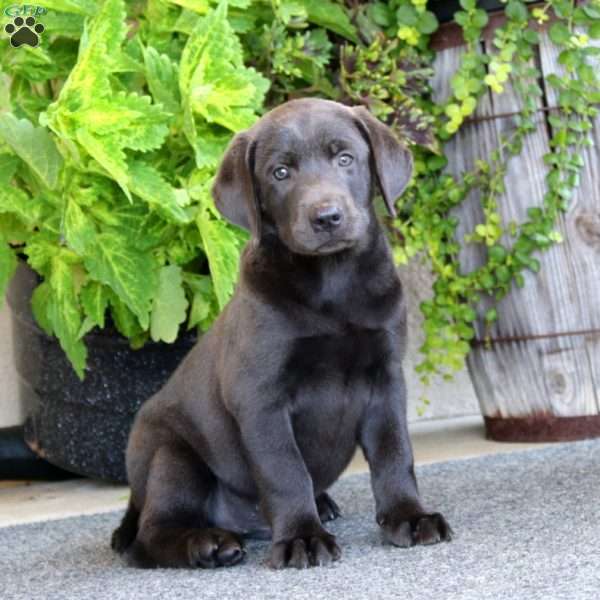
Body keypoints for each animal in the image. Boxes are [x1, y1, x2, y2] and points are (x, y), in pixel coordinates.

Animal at [111, 98, 450, 572]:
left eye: (345, 158)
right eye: (281, 172)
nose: (327, 217)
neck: (332, 283)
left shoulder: (385, 378)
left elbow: (394, 452)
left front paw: (410, 516)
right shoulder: (261, 397)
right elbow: (285, 471)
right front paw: (303, 537)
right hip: (171, 453)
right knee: (150, 536)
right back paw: (208, 544)